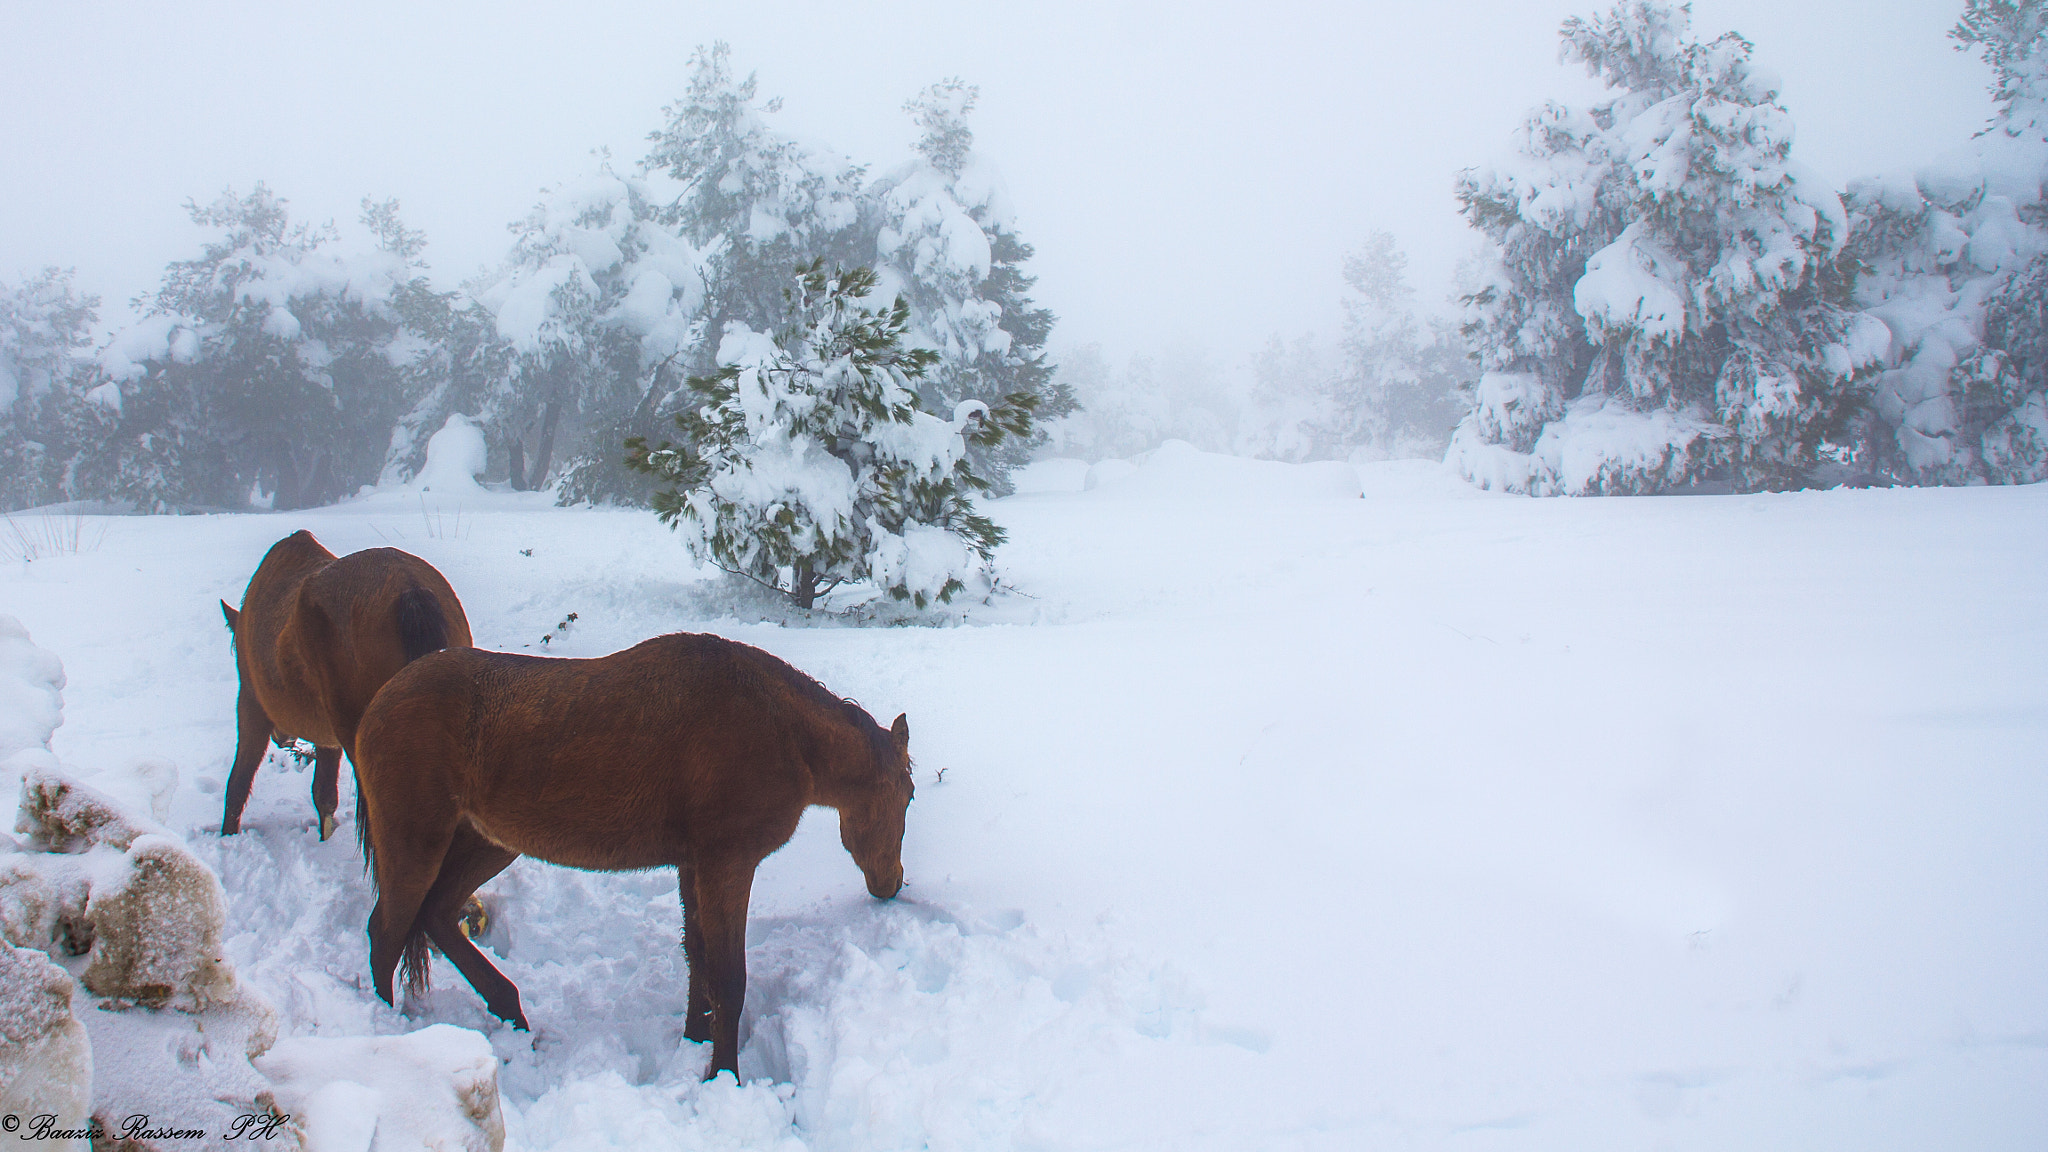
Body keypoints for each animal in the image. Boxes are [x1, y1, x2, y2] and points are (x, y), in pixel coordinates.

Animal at [220, 530, 472, 840]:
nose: (284, 738)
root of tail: (410, 590)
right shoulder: (328, 738)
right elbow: (325, 796)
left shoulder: (252, 704)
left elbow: (238, 783)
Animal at [350, 631, 913, 1079]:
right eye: (907, 796)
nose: (891, 883)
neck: (782, 731)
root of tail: (378, 701)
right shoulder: (727, 864)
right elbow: (729, 978)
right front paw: (722, 1076)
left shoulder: (694, 865)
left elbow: (699, 958)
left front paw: (695, 1040)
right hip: (417, 842)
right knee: (386, 932)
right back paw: (384, 1029)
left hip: (487, 842)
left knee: (437, 915)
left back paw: (511, 1013)